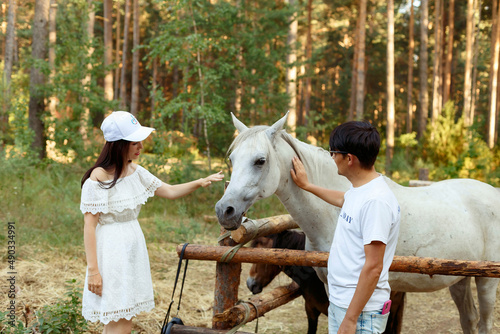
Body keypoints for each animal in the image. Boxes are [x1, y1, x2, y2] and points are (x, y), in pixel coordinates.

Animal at [215, 113, 500, 332]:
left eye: (260, 160)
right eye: (232, 160)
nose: (224, 210)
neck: (331, 215)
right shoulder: (330, 288)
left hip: (486, 282)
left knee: (483, 323)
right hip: (459, 280)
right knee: (468, 320)